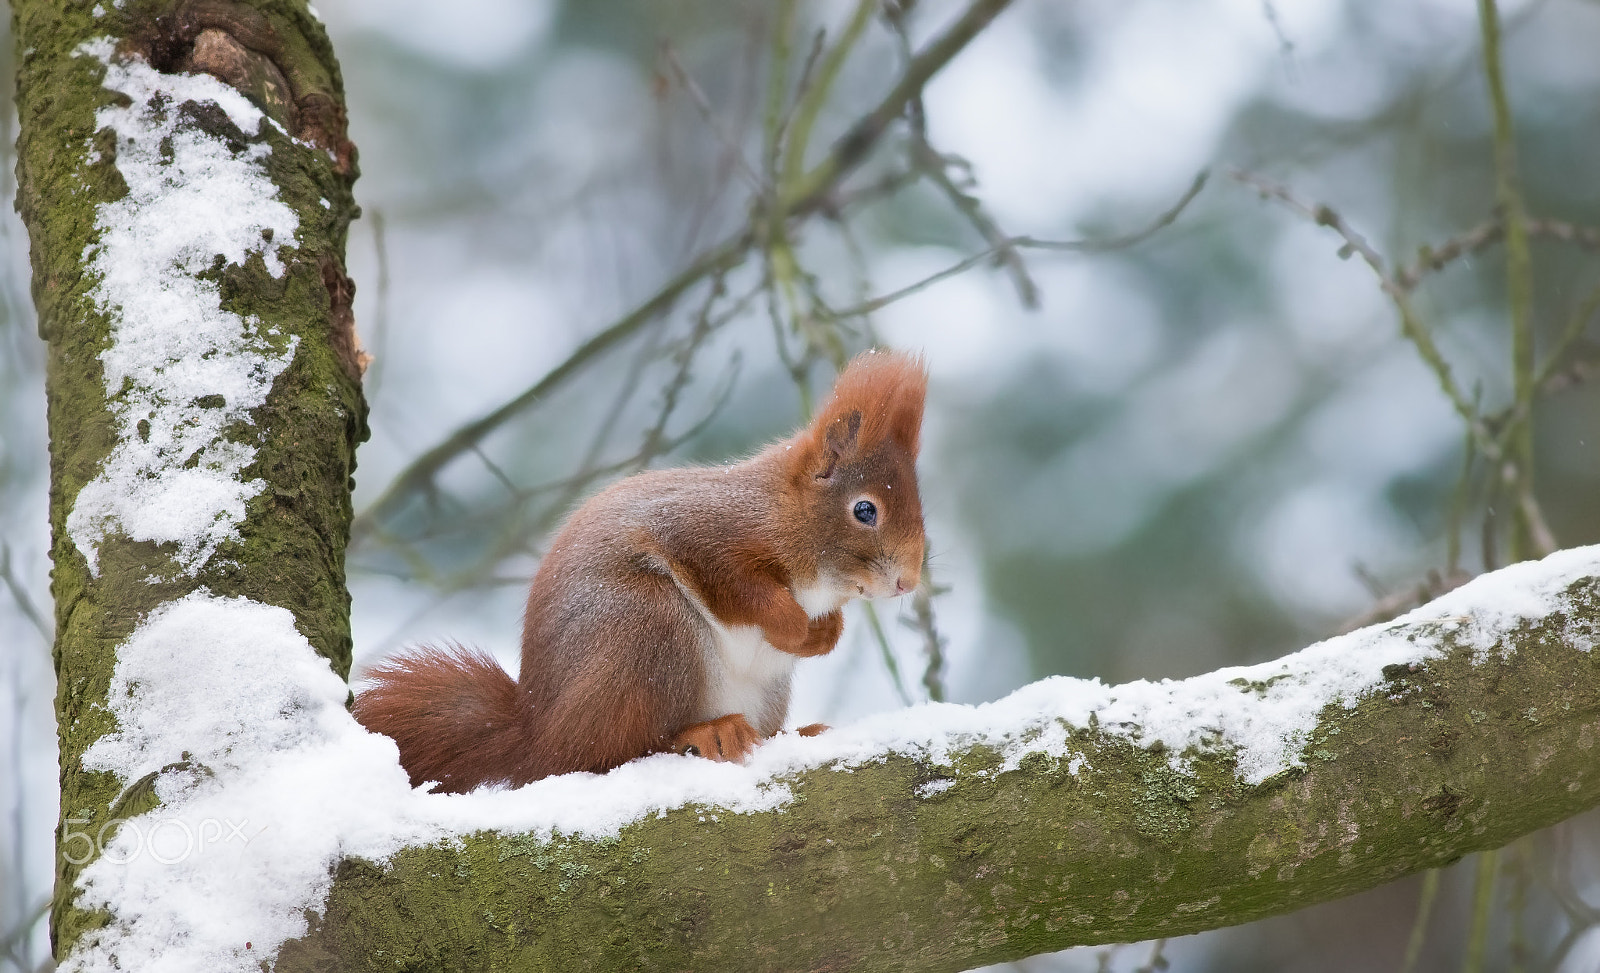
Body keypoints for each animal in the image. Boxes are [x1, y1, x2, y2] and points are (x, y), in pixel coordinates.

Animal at [350, 348, 928, 790]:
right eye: (865, 510)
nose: (909, 581)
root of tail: (538, 733)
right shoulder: (704, 532)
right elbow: (736, 586)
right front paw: (789, 624)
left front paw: (824, 635)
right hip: (646, 630)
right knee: (608, 754)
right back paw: (705, 734)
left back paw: (791, 734)